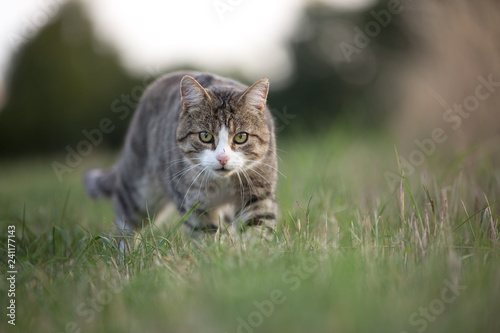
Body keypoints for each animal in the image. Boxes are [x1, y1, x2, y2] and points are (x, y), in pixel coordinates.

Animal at [84, 70, 280, 244]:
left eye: (241, 137)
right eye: (205, 136)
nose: (222, 159)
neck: (223, 182)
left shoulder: (258, 188)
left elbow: (258, 223)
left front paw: (254, 251)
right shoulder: (192, 200)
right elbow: (204, 232)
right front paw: (212, 254)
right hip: (137, 187)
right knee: (126, 220)